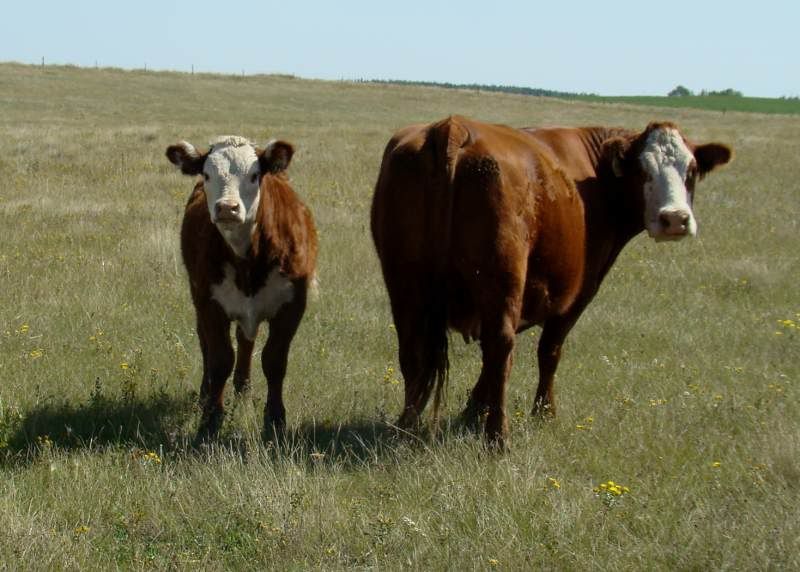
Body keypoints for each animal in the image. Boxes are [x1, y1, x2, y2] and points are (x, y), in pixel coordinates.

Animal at [166, 135, 317, 439]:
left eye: (254, 174)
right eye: (207, 174)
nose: (227, 208)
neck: (248, 259)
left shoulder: (292, 306)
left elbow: (274, 360)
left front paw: (275, 421)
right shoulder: (210, 304)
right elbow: (220, 360)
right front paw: (210, 421)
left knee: (247, 341)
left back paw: (243, 389)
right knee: (206, 345)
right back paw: (206, 394)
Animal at [370, 115, 731, 448]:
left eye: (691, 170)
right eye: (642, 170)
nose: (675, 219)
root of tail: (453, 126)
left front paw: (472, 410)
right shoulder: (578, 293)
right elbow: (549, 352)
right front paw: (543, 413)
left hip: (405, 283)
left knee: (414, 349)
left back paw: (405, 428)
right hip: (502, 277)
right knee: (500, 346)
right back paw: (498, 438)